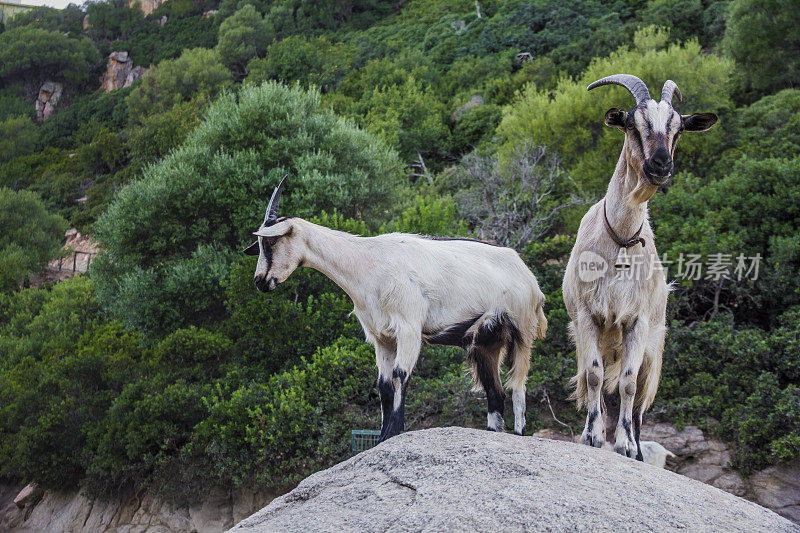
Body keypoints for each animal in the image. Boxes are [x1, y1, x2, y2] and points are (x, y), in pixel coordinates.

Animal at [244, 179, 548, 440]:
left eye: (271, 241)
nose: (260, 282)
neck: (368, 264)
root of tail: (528, 275)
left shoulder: (409, 327)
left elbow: (401, 375)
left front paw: (394, 432)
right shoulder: (381, 337)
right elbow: (384, 384)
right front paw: (382, 437)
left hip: (522, 329)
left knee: (517, 386)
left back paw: (519, 432)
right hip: (486, 341)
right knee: (495, 393)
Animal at [564, 74, 720, 458]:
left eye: (678, 129)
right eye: (633, 124)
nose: (661, 164)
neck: (620, 239)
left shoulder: (636, 321)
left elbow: (630, 385)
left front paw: (622, 445)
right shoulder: (588, 316)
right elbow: (593, 377)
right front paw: (592, 437)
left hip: (653, 348)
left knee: (638, 401)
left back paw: (635, 447)